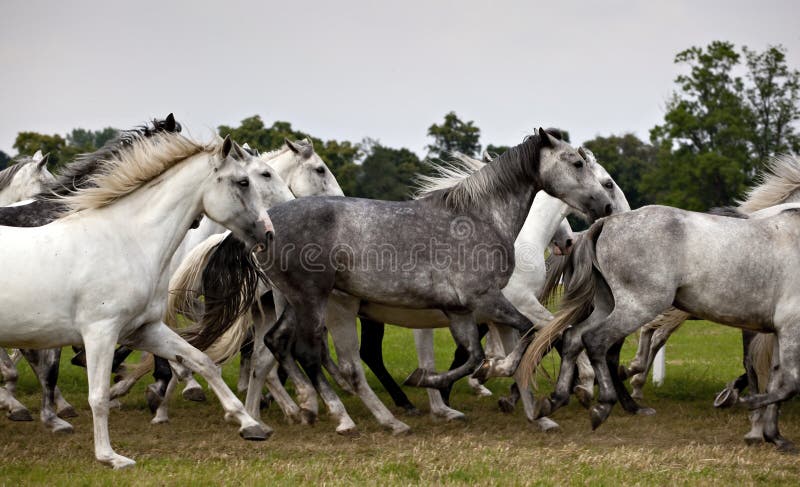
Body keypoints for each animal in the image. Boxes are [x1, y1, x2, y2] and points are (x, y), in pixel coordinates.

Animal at [0, 131, 272, 468]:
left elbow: (202, 361)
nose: (268, 233)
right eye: (243, 182)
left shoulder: (143, 329)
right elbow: (98, 396)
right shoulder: (101, 333)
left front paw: (250, 424)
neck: (126, 240)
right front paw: (110, 457)